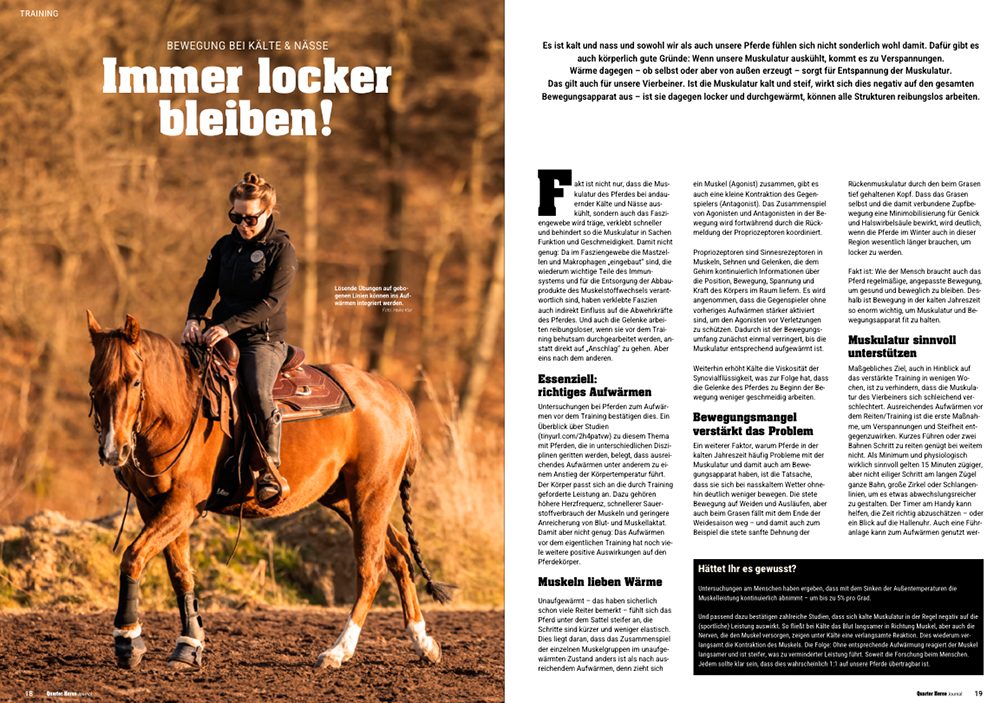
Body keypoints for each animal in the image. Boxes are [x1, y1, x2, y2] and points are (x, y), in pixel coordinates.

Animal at [85, 311, 452, 670]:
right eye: (93, 384)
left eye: (134, 380)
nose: (113, 450)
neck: (182, 407)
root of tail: (394, 394)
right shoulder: (155, 505)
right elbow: (181, 574)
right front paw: (189, 646)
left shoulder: (182, 505)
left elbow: (133, 556)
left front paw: (128, 640)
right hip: (348, 500)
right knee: (398, 554)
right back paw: (422, 642)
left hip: (370, 494)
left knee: (371, 568)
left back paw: (338, 651)